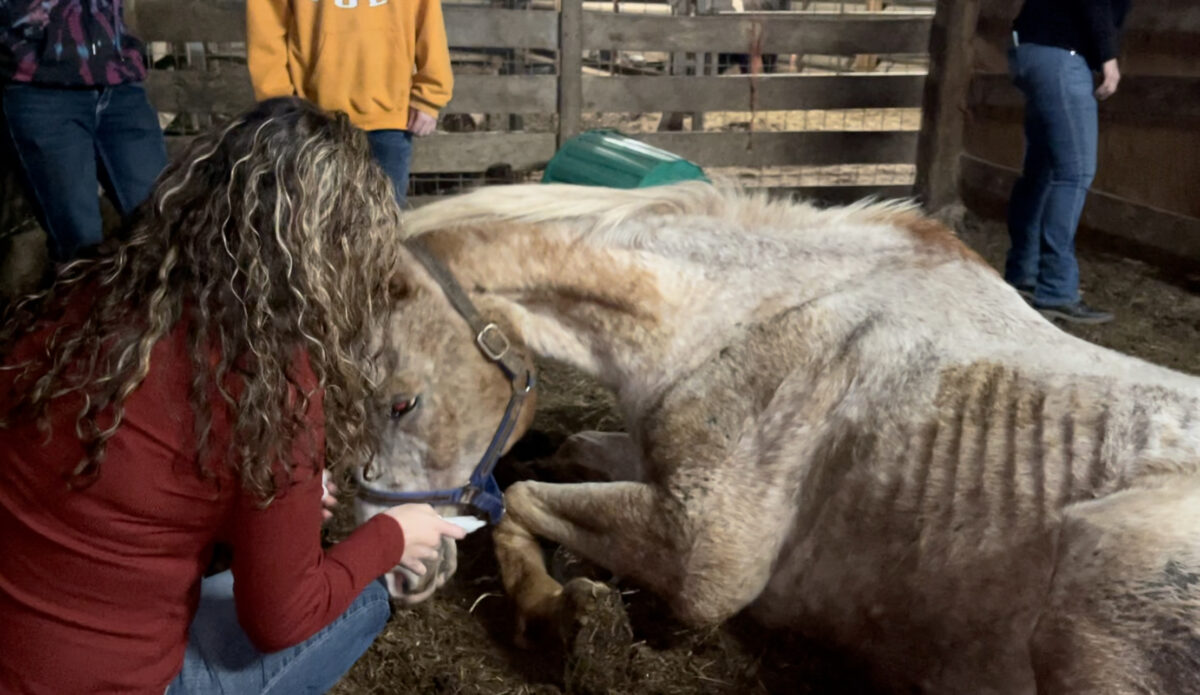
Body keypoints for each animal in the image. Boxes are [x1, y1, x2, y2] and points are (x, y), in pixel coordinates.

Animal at [362, 180, 1200, 694]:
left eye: (402, 401)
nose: (398, 571)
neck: (740, 314)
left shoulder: (706, 555)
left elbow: (524, 497)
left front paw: (559, 605)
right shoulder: (658, 466)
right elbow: (559, 459)